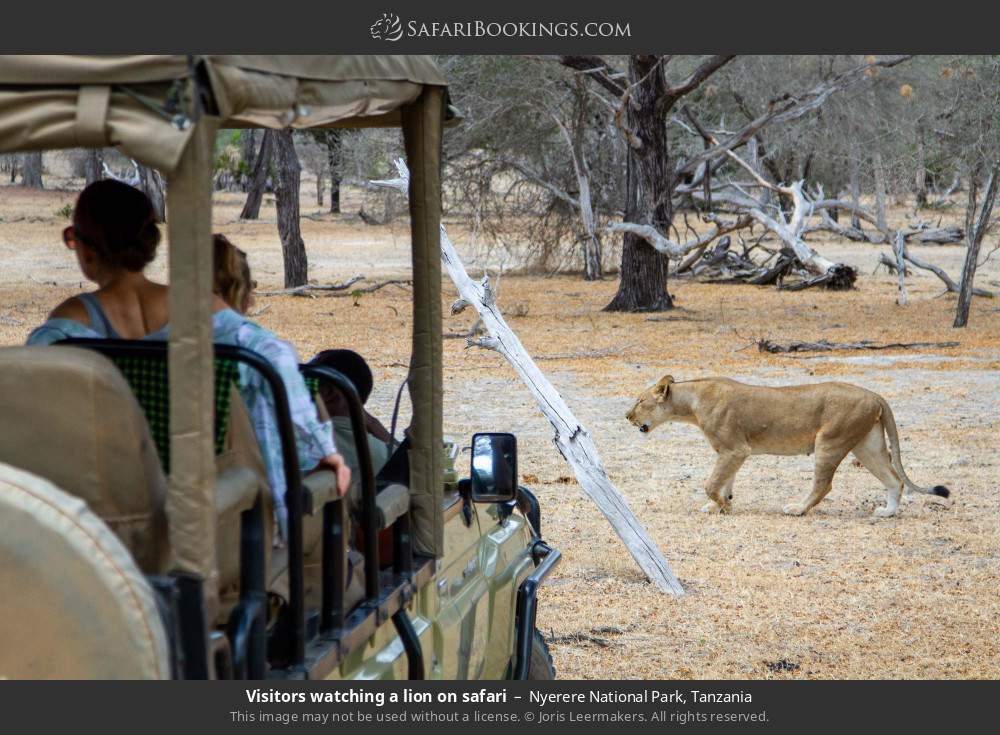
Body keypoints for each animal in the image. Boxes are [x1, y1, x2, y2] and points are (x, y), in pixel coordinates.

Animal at [626, 375, 950, 517]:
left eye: (640, 400)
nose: (627, 416)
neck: (691, 403)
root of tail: (875, 394)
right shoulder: (731, 453)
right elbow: (726, 482)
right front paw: (720, 504)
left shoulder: (735, 449)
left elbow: (711, 483)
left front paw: (721, 505)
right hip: (866, 446)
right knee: (895, 479)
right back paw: (887, 512)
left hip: (830, 441)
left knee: (823, 485)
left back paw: (797, 509)